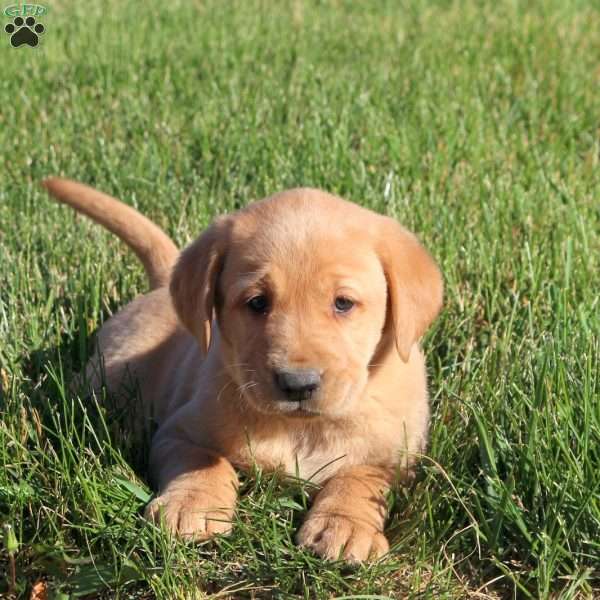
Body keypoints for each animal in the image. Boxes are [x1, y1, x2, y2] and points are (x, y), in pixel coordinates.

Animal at [44, 178, 442, 564]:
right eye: (257, 302)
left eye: (343, 303)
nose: (298, 385)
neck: (302, 429)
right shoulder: (178, 430)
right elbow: (205, 459)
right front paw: (192, 505)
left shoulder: (395, 459)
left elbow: (359, 478)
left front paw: (344, 527)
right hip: (106, 378)